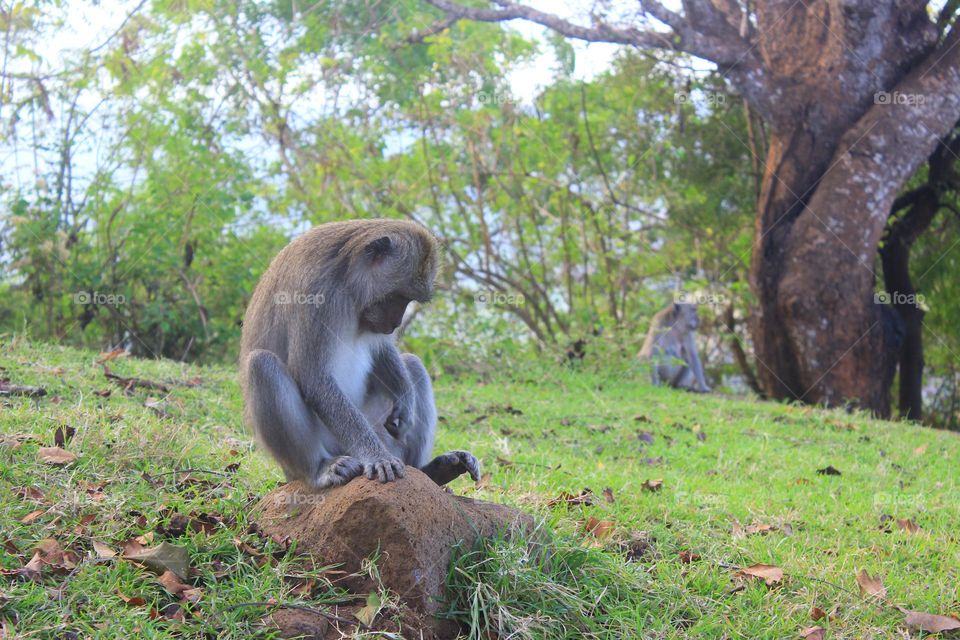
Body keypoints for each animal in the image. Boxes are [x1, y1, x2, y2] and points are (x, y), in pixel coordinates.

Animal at [239, 219, 480, 489]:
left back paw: (430, 470)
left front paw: (405, 401)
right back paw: (319, 468)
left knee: (413, 363)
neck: (346, 280)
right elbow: (313, 378)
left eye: (409, 300)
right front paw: (376, 456)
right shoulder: (315, 293)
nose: (396, 323)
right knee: (262, 365)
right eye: (398, 296)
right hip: (323, 451)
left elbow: (381, 349)